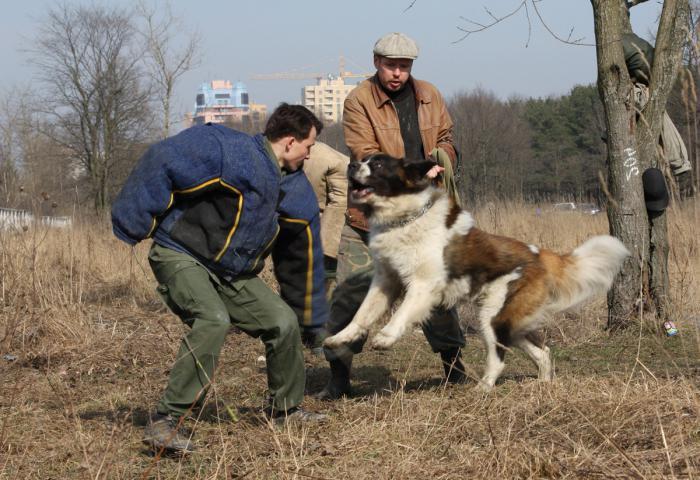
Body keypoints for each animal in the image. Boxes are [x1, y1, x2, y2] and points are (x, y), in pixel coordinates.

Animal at [322, 156, 628, 392]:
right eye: (363, 159)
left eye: (377, 164)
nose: (351, 165)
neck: (404, 219)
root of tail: (539, 254)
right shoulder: (386, 281)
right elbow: (362, 314)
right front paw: (341, 337)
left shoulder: (424, 285)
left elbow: (403, 312)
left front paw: (386, 338)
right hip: (510, 322)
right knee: (542, 351)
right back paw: (542, 384)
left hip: (492, 318)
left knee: (499, 358)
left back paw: (483, 387)